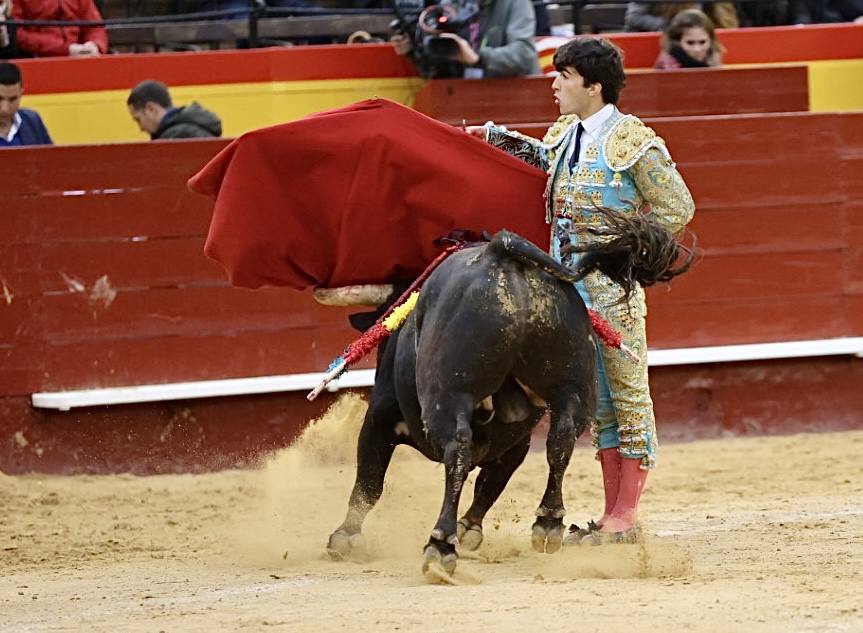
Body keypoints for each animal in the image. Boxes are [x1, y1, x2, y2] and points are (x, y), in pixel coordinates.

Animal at [320, 214, 692, 576]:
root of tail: (500, 249)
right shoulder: (517, 442)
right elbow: (491, 483)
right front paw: (470, 528)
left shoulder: (378, 420)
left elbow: (370, 483)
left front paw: (344, 538)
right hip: (573, 389)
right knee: (561, 442)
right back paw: (548, 523)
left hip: (449, 394)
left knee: (457, 451)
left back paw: (440, 547)